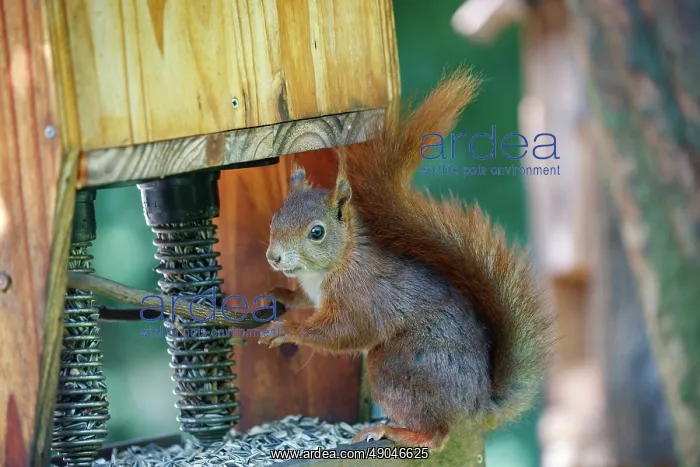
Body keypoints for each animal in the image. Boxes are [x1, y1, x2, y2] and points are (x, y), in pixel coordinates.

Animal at [259, 68, 553, 451]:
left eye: (317, 232)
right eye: (274, 218)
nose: (273, 257)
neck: (333, 265)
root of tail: (476, 405)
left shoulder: (360, 296)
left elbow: (344, 332)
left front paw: (287, 330)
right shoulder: (314, 292)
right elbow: (303, 301)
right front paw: (279, 295)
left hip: (398, 365)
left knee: (436, 435)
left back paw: (393, 430)